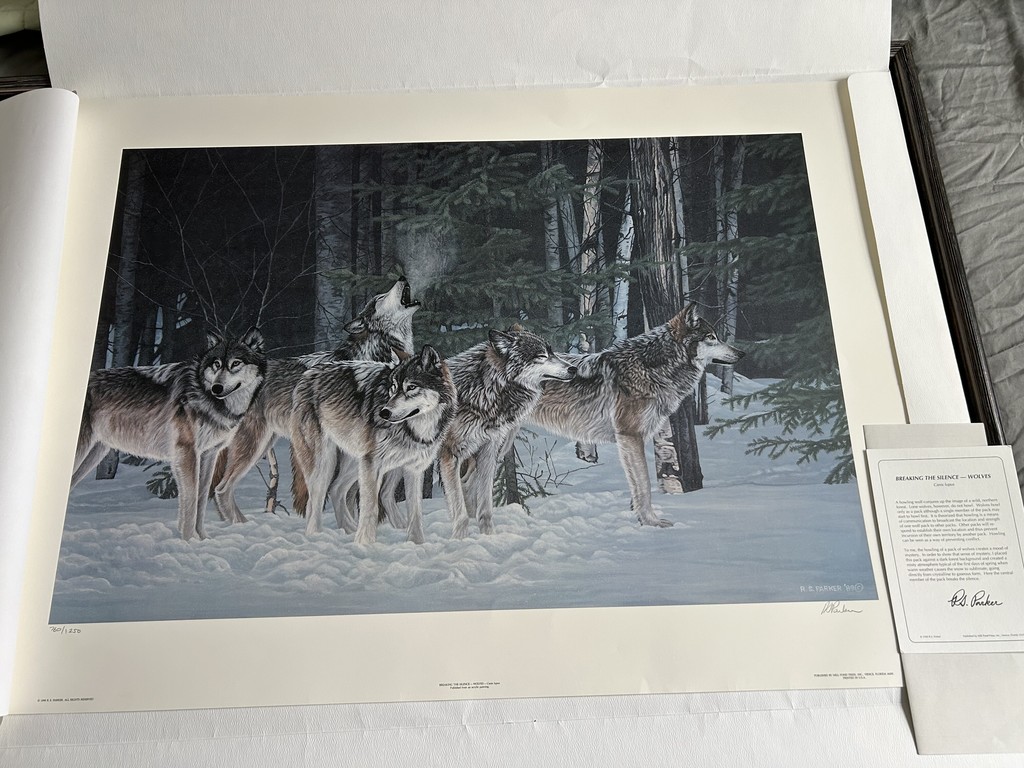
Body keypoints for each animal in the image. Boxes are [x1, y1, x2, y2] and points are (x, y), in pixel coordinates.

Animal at [70, 328, 267, 541]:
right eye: (216, 364)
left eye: (236, 363)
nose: (217, 388)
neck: (204, 395)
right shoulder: (187, 452)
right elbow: (190, 501)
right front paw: (189, 541)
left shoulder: (209, 454)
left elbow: (201, 498)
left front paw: (203, 539)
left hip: (93, 455)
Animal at [212, 276, 419, 525]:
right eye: (379, 298)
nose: (402, 277)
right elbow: (344, 493)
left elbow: (350, 495)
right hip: (254, 444)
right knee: (222, 489)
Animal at [290, 345, 458, 545]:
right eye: (393, 388)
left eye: (411, 387)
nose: (384, 412)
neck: (415, 430)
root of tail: (307, 375)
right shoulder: (373, 464)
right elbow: (370, 508)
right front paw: (365, 544)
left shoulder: (413, 468)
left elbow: (415, 511)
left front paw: (417, 543)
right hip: (327, 463)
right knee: (315, 498)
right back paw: (316, 535)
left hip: (358, 461)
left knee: (336, 489)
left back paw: (348, 530)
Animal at [440, 326, 576, 538]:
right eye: (541, 356)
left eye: (552, 352)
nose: (573, 368)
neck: (485, 388)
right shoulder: (449, 454)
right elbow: (459, 512)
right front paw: (460, 540)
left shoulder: (488, 451)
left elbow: (485, 507)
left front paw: (489, 537)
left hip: (495, 450)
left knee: (467, 486)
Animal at [529, 305, 743, 527]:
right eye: (711, 337)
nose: (742, 353)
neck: (651, 368)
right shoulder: (629, 435)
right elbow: (645, 484)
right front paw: (652, 522)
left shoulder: (638, 437)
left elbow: (636, 484)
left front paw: (638, 518)